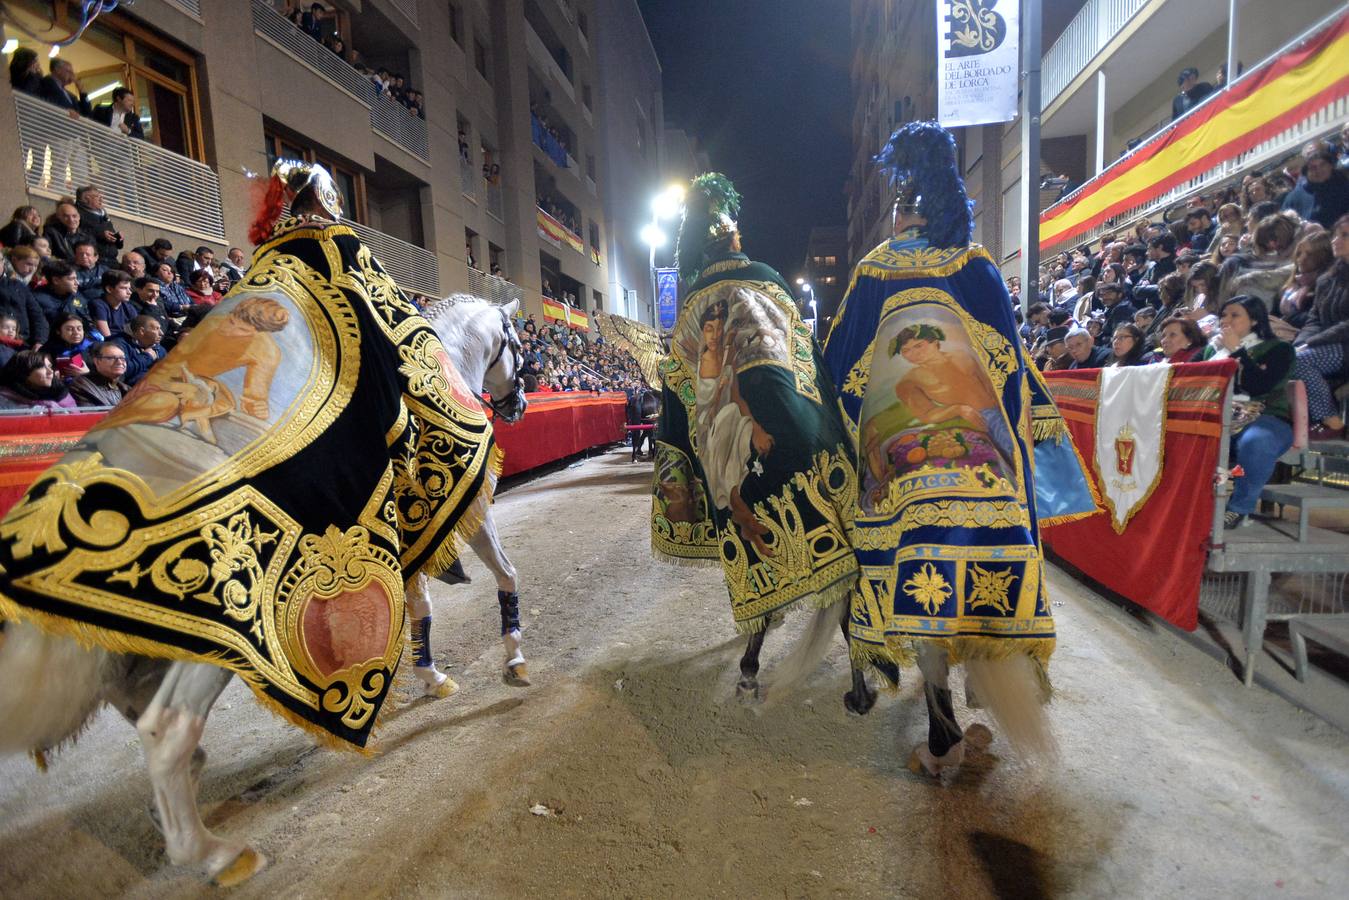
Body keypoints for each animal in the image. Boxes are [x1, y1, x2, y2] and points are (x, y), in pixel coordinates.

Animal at [0, 294, 526, 879]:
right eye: (521, 346)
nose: (520, 405)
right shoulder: (466, 509)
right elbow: (505, 574)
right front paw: (514, 659)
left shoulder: (408, 537)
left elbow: (421, 609)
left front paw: (433, 677)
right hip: (214, 644)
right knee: (167, 730)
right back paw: (213, 854)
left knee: (148, 722)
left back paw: (173, 812)